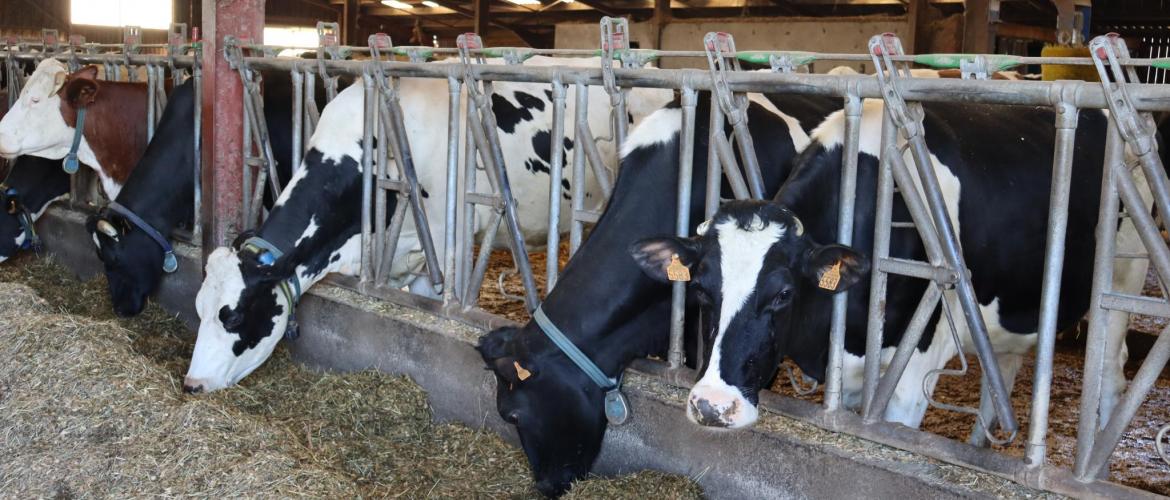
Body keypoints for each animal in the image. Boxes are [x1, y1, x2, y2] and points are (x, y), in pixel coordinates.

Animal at [641, 98, 1160, 442]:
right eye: (702, 290)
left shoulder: (914, 373)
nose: (711, 406)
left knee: (1111, 376)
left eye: (783, 294)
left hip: (1122, 285)